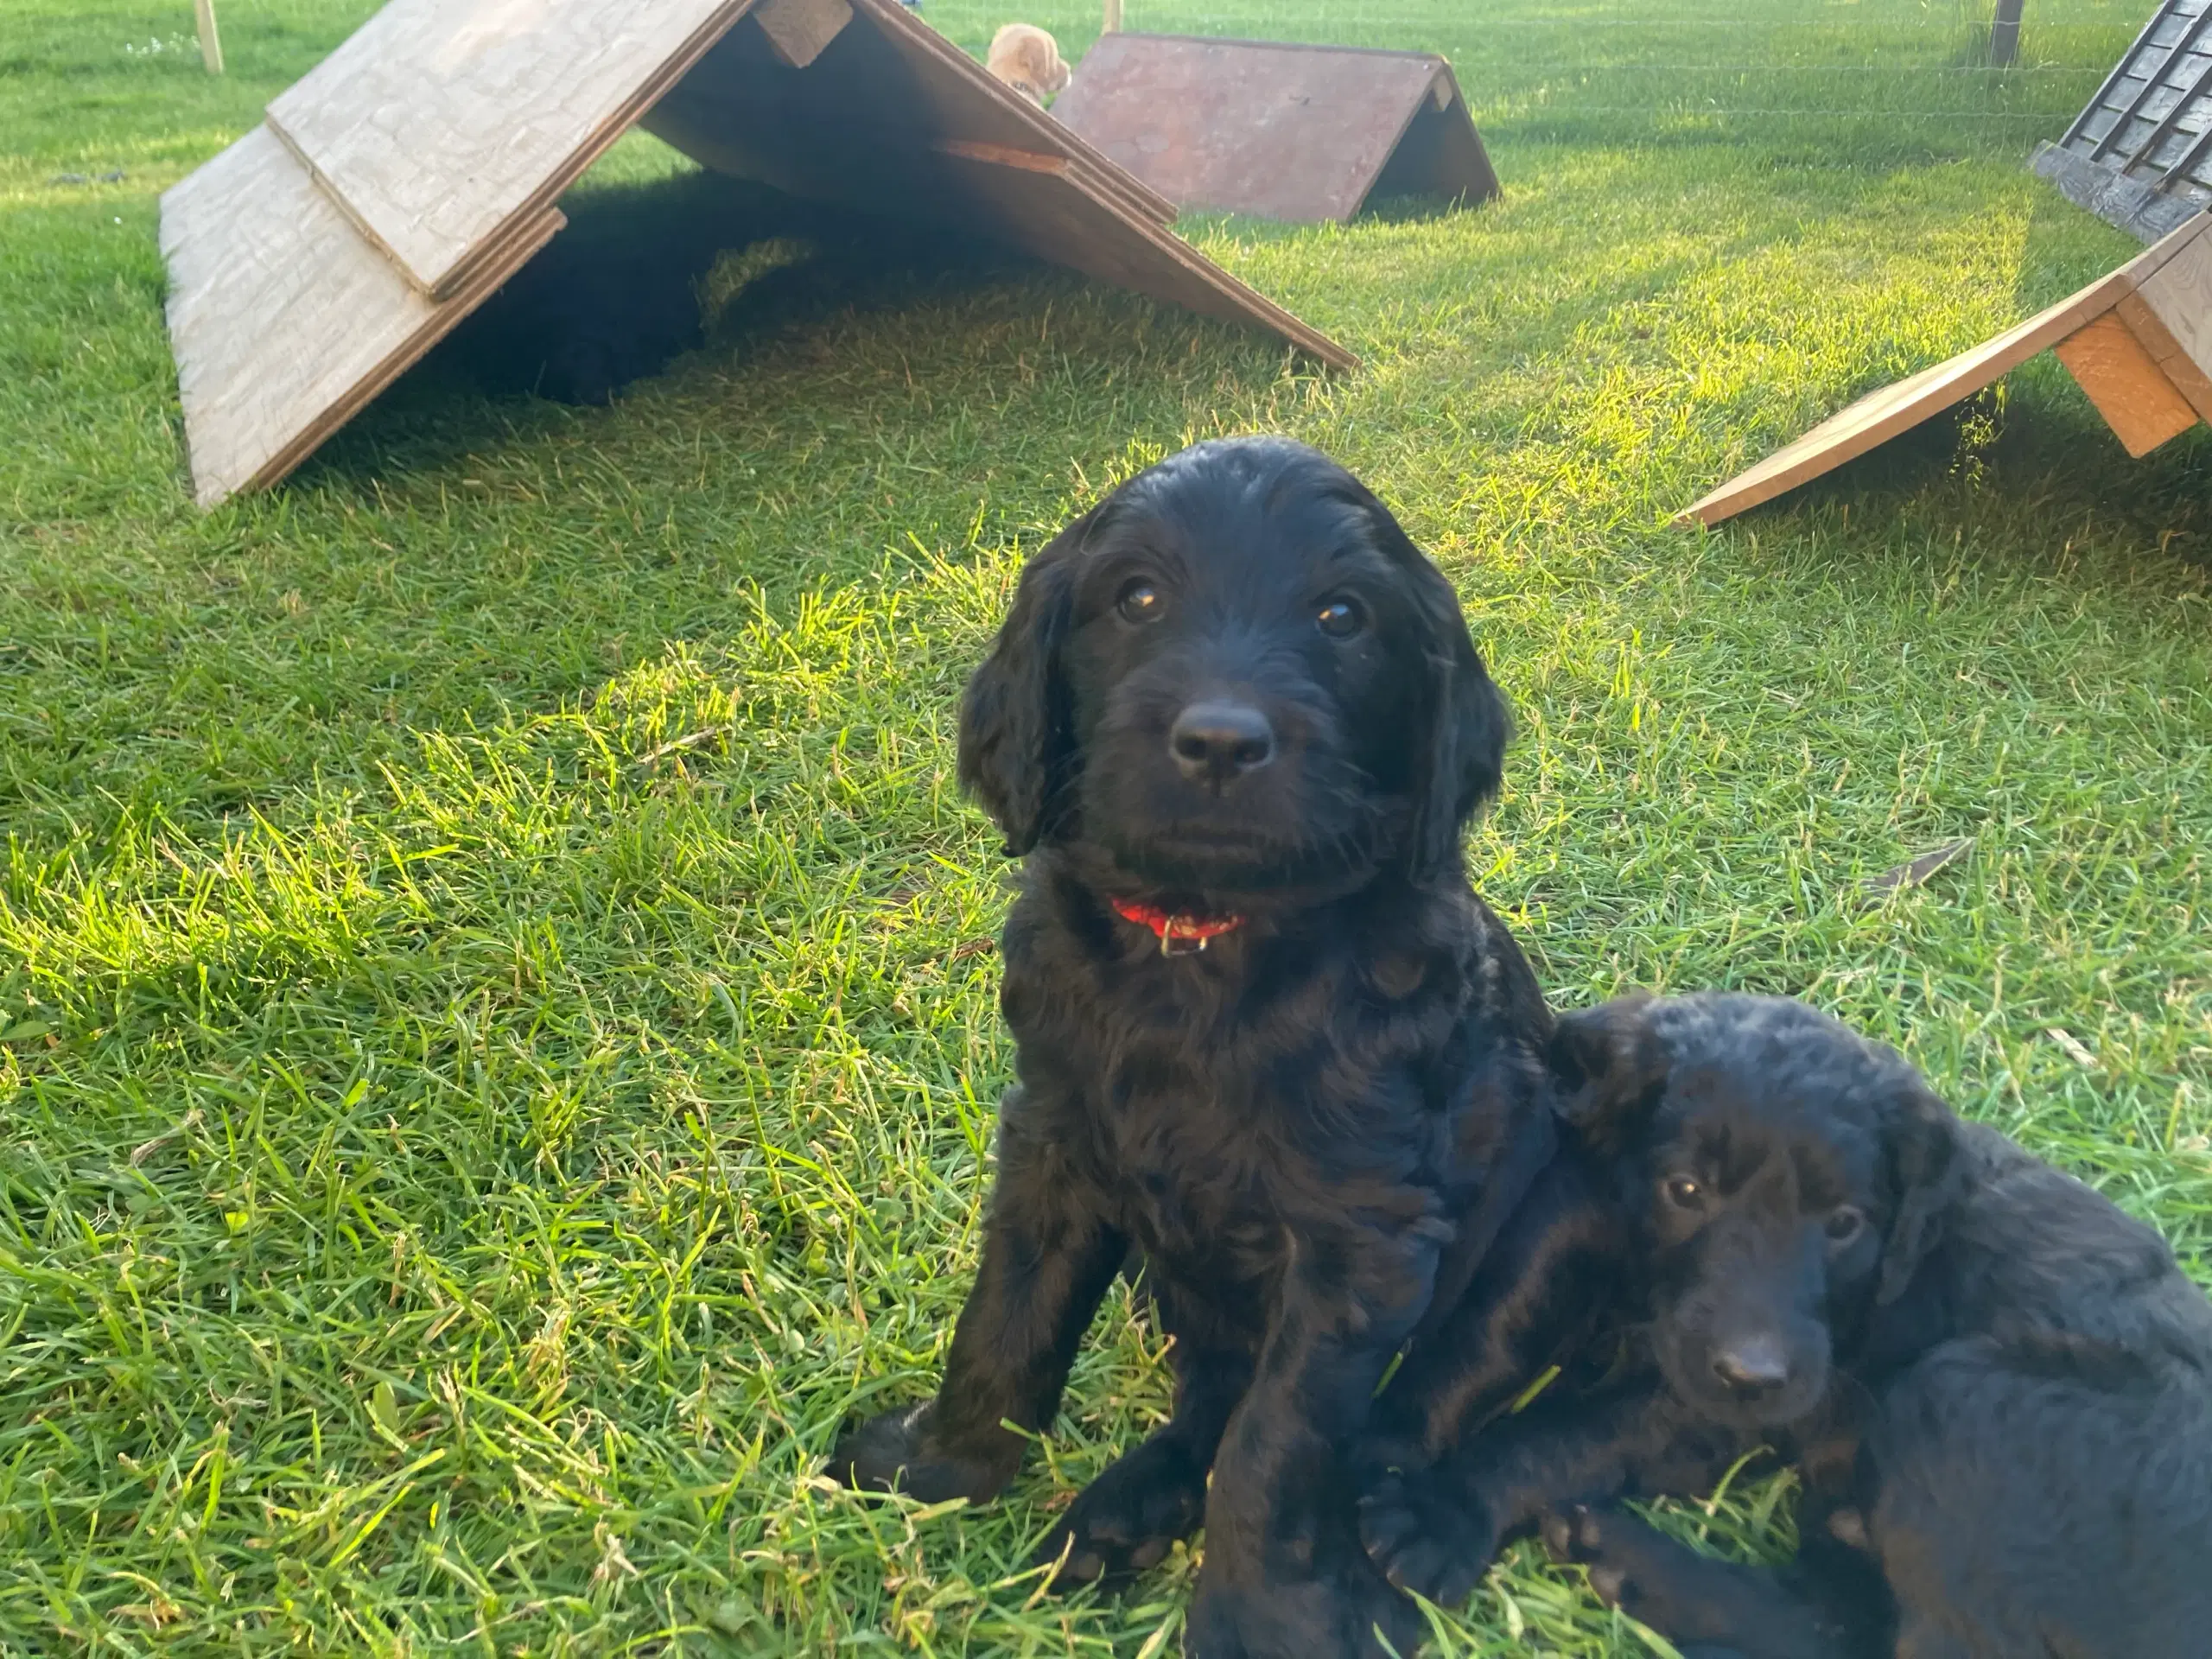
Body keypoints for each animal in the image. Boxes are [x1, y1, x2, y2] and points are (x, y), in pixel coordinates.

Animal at [831, 435, 1557, 1654]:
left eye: (1341, 616)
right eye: (1136, 598)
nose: (1219, 741)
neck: (1200, 947)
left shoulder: (1359, 1234)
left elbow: (1278, 1443)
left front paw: (1265, 1619)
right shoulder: (1054, 1144)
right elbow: (1007, 1320)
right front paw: (938, 1464)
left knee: (1410, 1410)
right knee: (1211, 1387)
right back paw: (1125, 1510)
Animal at [1353, 995, 2212, 1654]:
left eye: (1845, 1225)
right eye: (1686, 1189)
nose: (1754, 1371)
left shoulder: (1748, 1397)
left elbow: (1571, 1432)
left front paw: (1448, 1505)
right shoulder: (1577, 1201)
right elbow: (1496, 1327)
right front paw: (1396, 1439)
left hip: (1959, 1395)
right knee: (1836, 1615)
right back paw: (1628, 1562)